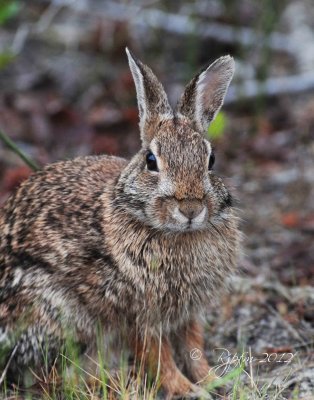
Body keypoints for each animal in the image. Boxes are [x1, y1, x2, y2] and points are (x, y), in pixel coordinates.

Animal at [0, 48, 240, 398]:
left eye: (210, 161)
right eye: (151, 161)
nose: (191, 208)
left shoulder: (188, 313)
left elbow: (193, 348)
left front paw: (215, 381)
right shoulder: (136, 313)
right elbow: (158, 357)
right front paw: (187, 390)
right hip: (58, 316)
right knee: (45, 377)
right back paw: (113, 381)